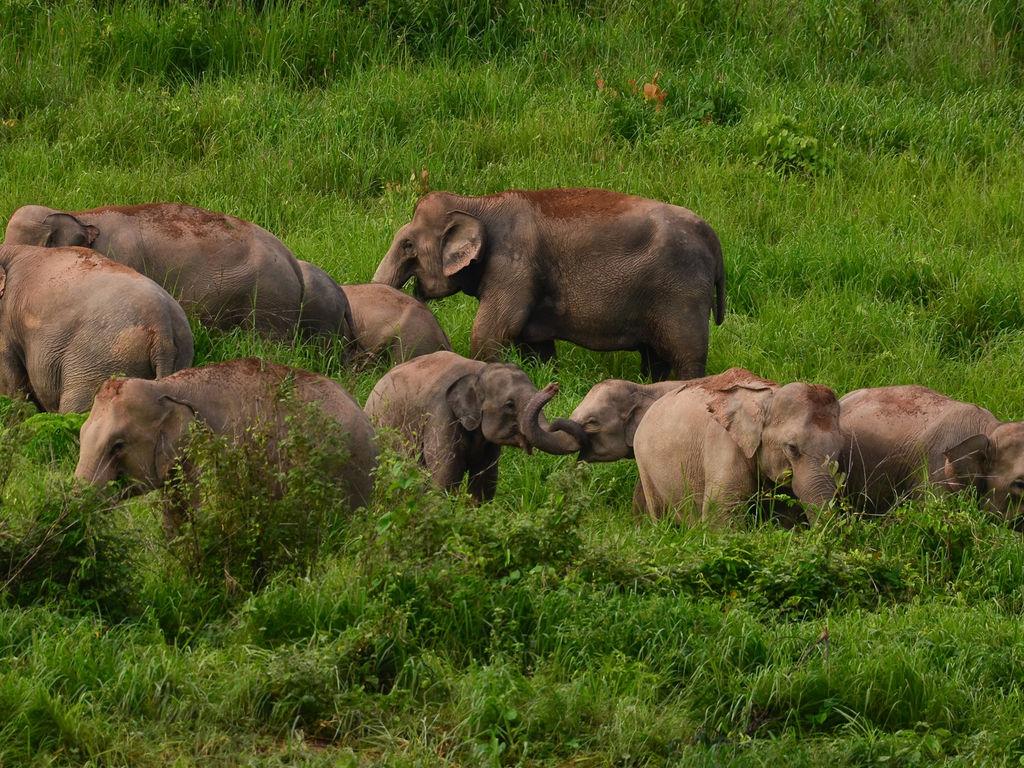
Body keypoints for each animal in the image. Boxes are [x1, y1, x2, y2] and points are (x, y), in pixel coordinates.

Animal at [372, 189, 724, 382]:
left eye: (407, 245)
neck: (477, 202)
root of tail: (711, 234)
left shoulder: (514, 266)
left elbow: (492, 330)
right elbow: (534, 344)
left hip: (681, 293)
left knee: (687, 355)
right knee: (654, 357)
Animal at [626, 374, 843, 528]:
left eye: (839, 450)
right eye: (792, 448)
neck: (768, 397)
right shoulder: (724, 446)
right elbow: (721, 514)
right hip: (645, 466)